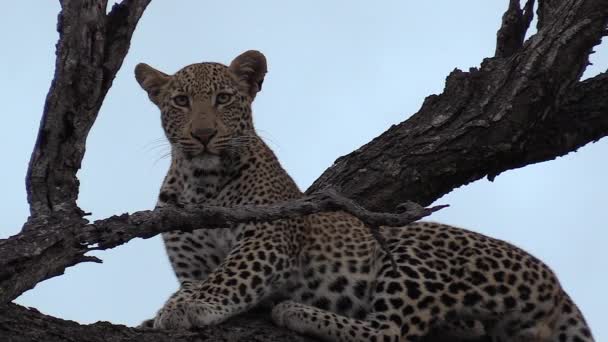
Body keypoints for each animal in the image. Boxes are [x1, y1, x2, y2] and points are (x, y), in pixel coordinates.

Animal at [134, 49, 592, 340]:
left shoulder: (269, 237)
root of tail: (556, 284)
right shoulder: (191, 262)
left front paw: (184, 307)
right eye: (181, 101)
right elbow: (203, 279)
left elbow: (229, 276)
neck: (202, 182)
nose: (203, 134)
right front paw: (167, 308)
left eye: (224, 98)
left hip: (409, 249)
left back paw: (297, 312)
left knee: (389, 332)